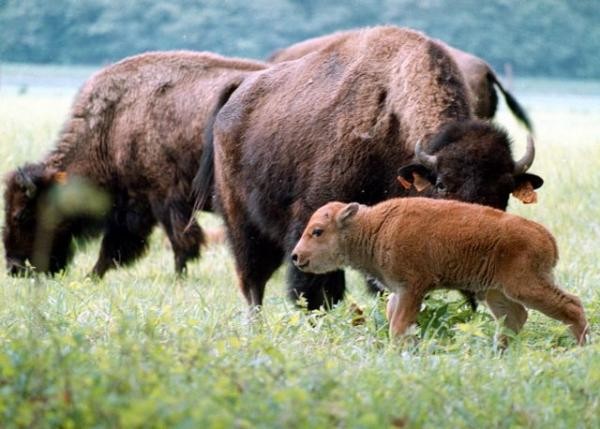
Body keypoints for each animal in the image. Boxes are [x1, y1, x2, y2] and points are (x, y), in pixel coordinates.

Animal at [2, 51, 264, 278]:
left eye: (21, 215)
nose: (15, 268)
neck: (111, 125)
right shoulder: (137, 204)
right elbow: (116, 247)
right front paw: (93, 276)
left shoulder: (161, 198)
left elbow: (178, 241)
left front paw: (179, 277)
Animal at [292, 197, 588, 344]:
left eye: (317, 231)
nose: (296, 256)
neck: (373, 226)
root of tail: (547, 237)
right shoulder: (399, 291)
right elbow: (393, 318)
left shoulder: (411, 288)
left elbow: (398, 326)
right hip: (495, 292)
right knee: (515, 317)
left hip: (525, 286)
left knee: (572, 305)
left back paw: (581, 347)